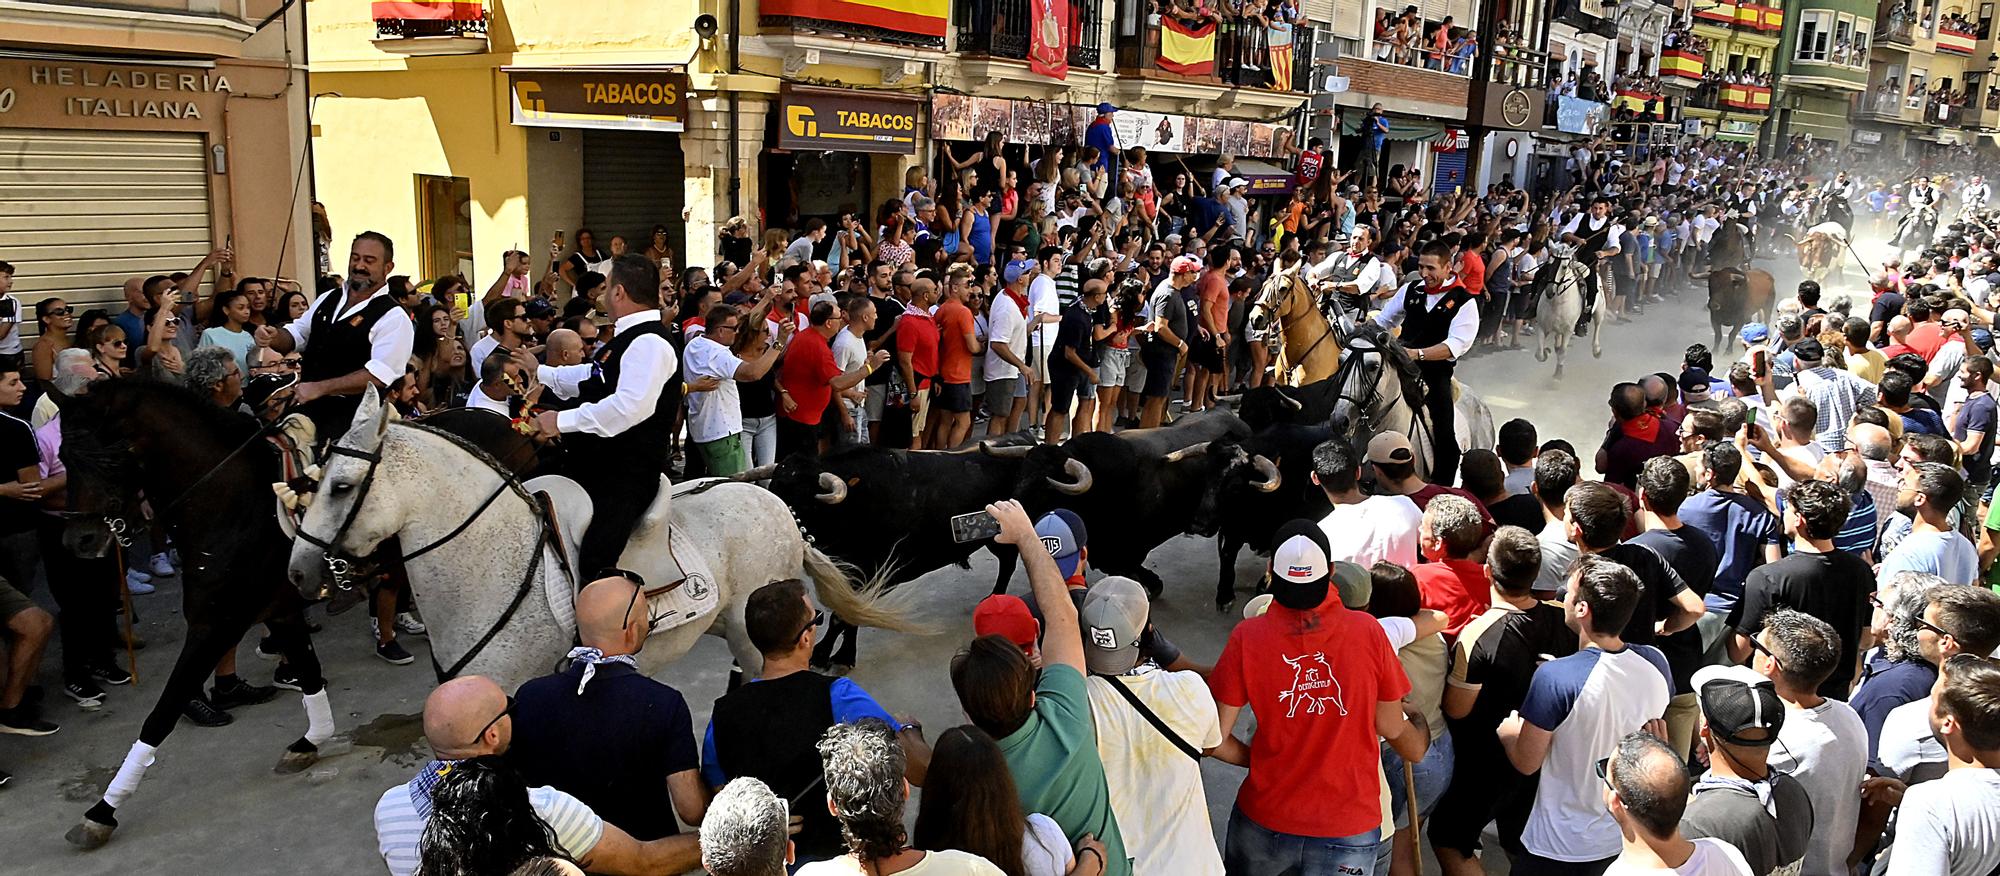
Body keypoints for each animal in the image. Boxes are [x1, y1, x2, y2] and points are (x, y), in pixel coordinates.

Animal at [56, 378, 330, 848]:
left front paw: (102, 811)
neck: (233, 502)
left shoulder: (216, 625)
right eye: (63, 458)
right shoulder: (277, 610)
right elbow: (309, 674)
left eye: (113, 457)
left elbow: (161, 714)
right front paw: (309, 742)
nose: (81, 540)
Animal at [1528, 250, 1608, 380]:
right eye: (1549, 264)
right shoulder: (1541, 326)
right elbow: (1539, 354)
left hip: (1600, 311)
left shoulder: (1568, 330)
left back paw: (1596, 350)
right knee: (1557, 339)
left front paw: (1558, 375)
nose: (1550, 291)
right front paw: (1546, 352)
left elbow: (1562, 352)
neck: (1557, 302)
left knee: (1597, 325)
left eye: (1564, 266)